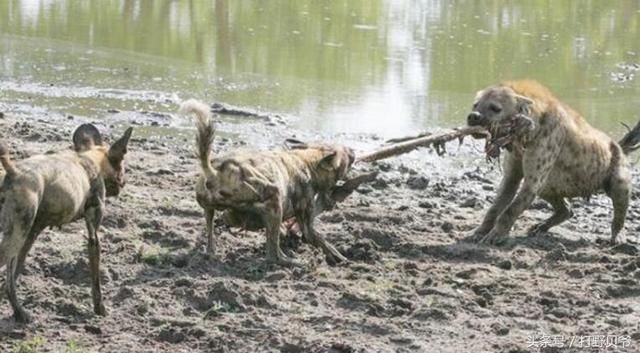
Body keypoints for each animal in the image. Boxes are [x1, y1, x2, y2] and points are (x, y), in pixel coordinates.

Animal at [0, 124, 132, 322]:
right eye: (122, 165)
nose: (124, 182)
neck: (91, 159)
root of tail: (12, 171)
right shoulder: (93, 235)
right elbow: (96, 280)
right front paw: (99, 308)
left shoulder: (32, 233)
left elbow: (13, 275)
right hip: (14, 237)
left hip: (18, 235)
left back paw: (20, 312)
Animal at [464, 80, 640, 245]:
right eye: (475, 105)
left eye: (495, 108)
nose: (473, 116)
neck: (525, 138)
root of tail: (619, 146)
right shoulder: (512, 174)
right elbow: (496, 206)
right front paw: (478, 232)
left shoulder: (534, 179)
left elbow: (511, 209)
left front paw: (495, 236)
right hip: (550, 185)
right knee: (567, 209)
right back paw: (541, 226)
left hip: (618, 177)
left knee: (620, 208)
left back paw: (617, 237)